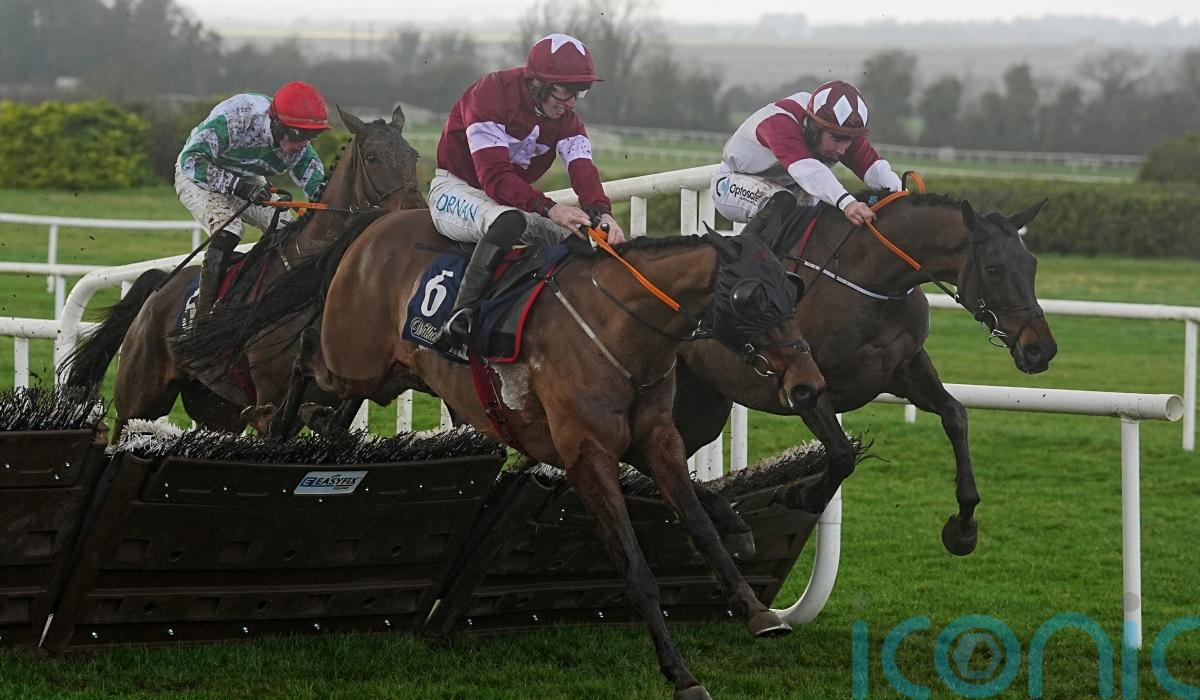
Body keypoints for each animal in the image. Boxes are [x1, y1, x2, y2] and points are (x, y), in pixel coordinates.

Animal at [61, 106, 425, 440]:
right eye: (373, 156)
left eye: (413, 155)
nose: (415, 213)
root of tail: (158, 287)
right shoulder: (270, 402)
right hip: (140, 398)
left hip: (216, 408)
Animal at [179, 208, 827, 699]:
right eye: (750, 296)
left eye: (792, 291)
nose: (808, 385)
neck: (620, 330)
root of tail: (377, 220)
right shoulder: (585, 452)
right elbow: (635, 568)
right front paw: (682, 675)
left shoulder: (654, 439)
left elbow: (702, 523)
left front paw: (753, 598)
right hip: (352, 355)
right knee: (306, 354)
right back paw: (279, 429)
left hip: (391, 372)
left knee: (335, 399)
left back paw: (321, 432)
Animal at [672, 190, 1058, 555]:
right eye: (993, 268)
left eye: (1032, 264)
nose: (1041, 349)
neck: (871, 280)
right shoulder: (806, 385)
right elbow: (843, 454)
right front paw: (797, 494)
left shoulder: (904, 369)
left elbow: (955, 416)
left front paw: (963, 527)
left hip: (705, 402)